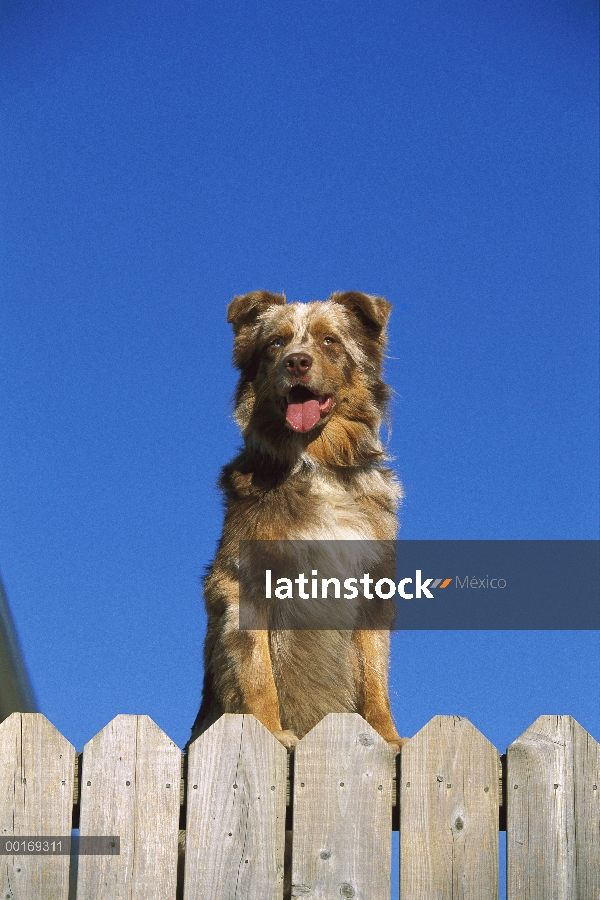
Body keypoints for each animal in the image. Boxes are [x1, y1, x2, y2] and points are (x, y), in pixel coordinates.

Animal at [190, 290, 406, 752]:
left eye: (329, 340)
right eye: (276, 343)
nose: (296, 362)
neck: (316, 463)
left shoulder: (373, 589)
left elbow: (374, 676)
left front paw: (388, 737)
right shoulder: (244, 583)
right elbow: (258, 674)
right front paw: (271, 733)